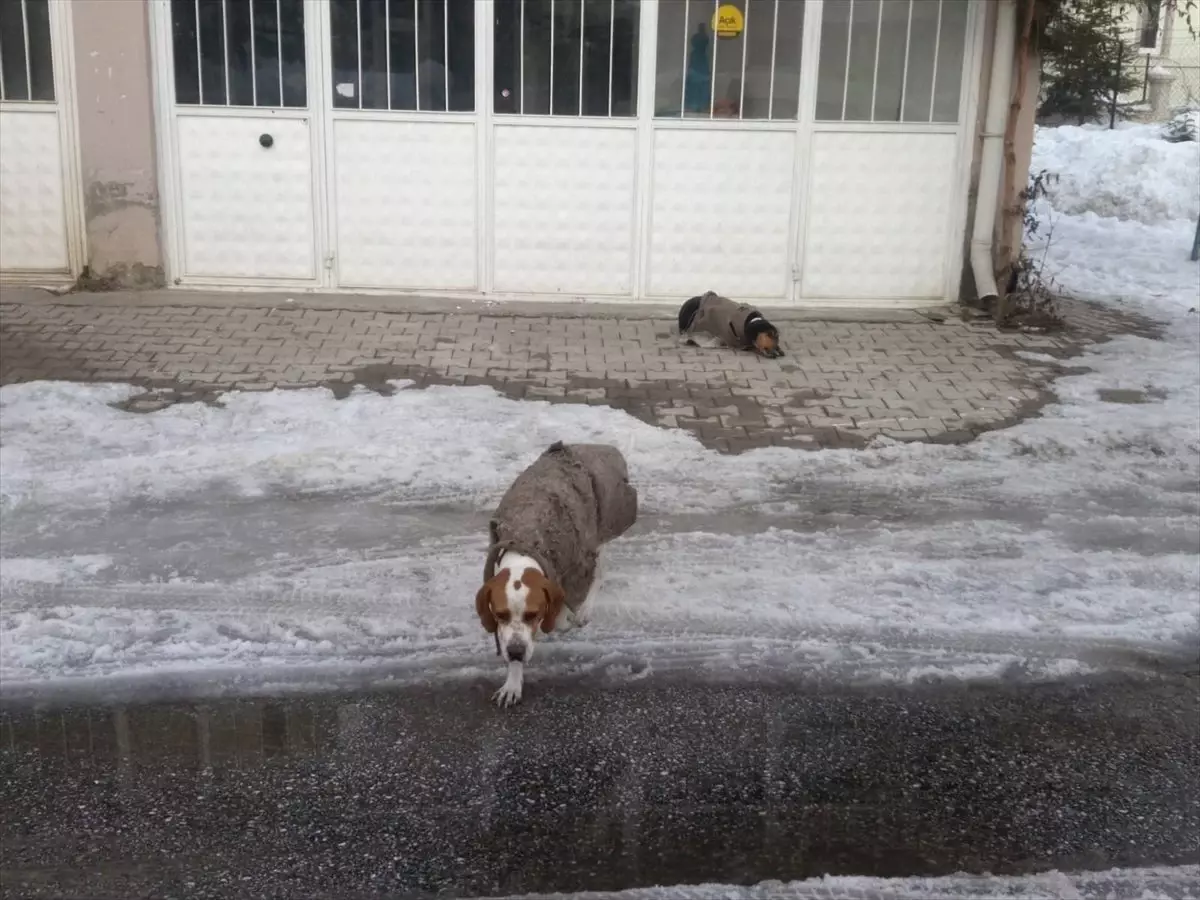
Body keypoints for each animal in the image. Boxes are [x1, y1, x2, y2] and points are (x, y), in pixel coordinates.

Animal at [472, 441, 638, 710]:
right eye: (500, 614)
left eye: (533, 614)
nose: (516, 653)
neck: (524, 543)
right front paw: (513, 682)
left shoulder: (574, 567)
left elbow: (560, 616)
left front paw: (566, 618)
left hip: (599, 533)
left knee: (598, 572)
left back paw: (584, 609)